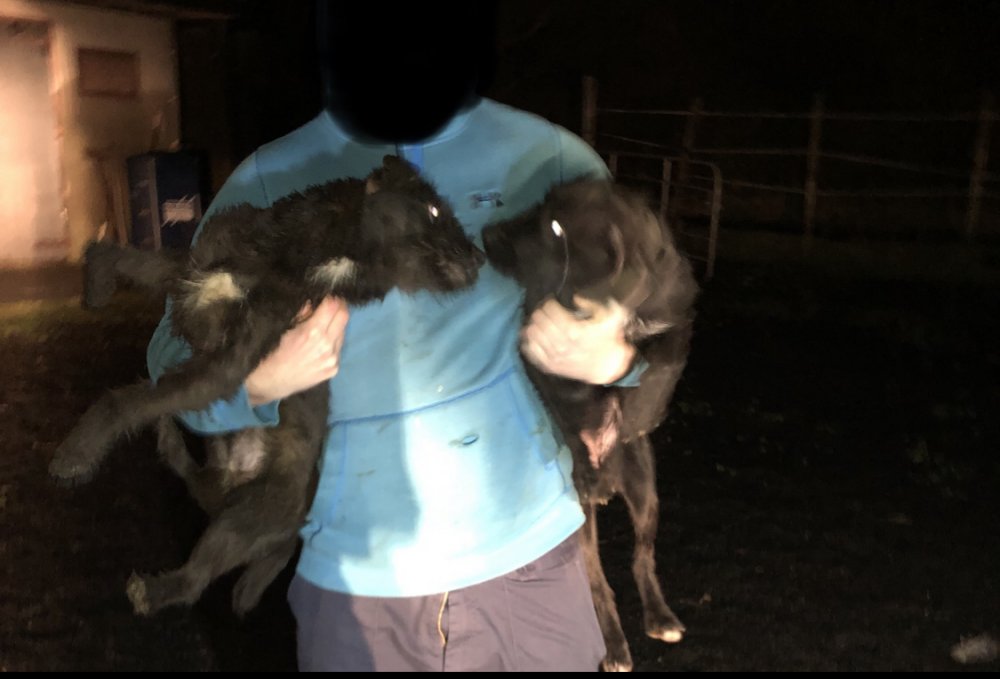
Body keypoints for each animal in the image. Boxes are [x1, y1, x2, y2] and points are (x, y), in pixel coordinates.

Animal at [50, 154, 484, 616]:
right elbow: (124, 257)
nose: (480, 256)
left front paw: (76, 453)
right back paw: (169, 440)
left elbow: (128, 401)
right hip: (222, 494)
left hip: (240, 522)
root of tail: (295, 529)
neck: (306, 255)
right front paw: (96, 286)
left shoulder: (227, 364)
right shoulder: (192, 272)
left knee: (197, 579)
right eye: (434, 210)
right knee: (194, 481)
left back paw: (154, 591)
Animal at [482, 178, 699, 672]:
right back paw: (615, 646)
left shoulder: (674, 323)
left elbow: (660, 360)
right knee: (599, 586)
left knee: (642, 557)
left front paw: (638, 408)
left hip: (646, 492)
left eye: (555, 227)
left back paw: (660, 616)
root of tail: (610, 485)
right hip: (580, 521)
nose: (487, 232)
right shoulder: (539, 340)